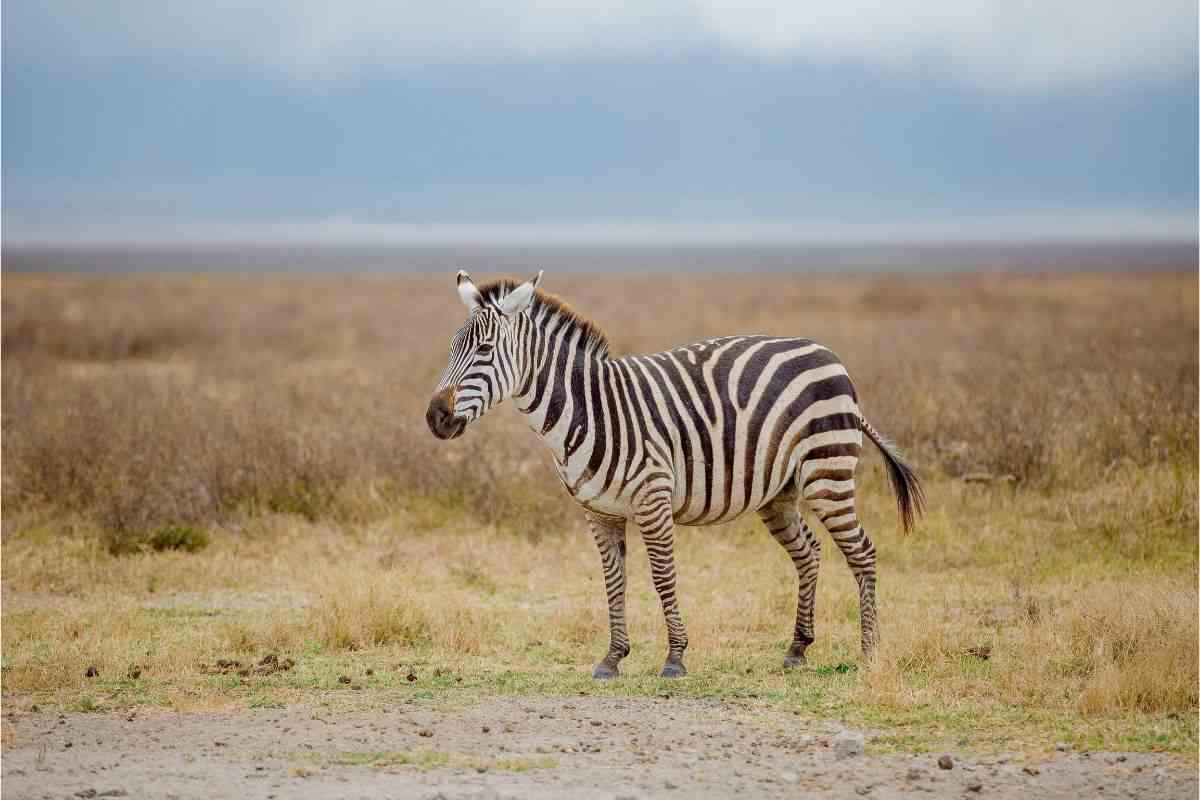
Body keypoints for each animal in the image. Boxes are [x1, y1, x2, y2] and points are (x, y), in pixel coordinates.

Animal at [427, 270, 924, 678]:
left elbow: (663, 576)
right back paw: (798, 648)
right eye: (451, 350)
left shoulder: (653, 499)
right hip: (778, 493)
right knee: (809, 553)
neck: (588, 409)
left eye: (485, 351)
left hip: (828, 473)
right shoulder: (598, 512)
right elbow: (613, 582)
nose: (436, 417)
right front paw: (612, 658)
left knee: (863, 552)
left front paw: (675, 657)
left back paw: (869, 653)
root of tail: (827, 353)